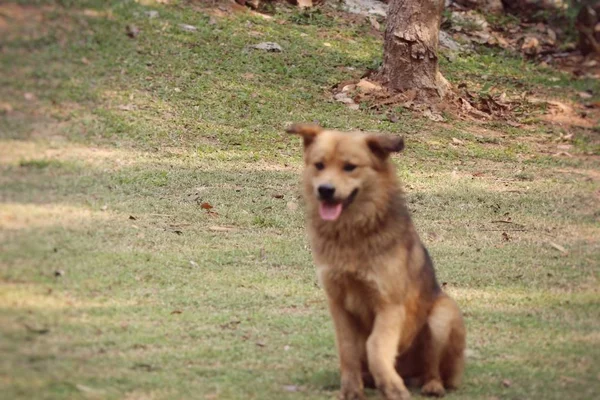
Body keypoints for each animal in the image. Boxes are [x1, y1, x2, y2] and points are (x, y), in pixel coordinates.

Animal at [288, 124, 466, 400]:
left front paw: (392, 386)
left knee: (433, 368)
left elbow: (375, 345)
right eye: (319, 165)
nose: (325, 190)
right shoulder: (338, 304)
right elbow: (348, 349)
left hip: (442, 315)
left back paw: (431, 385)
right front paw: (351, 388)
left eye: (350, 167)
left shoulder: (388, 304)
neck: (352, 235)